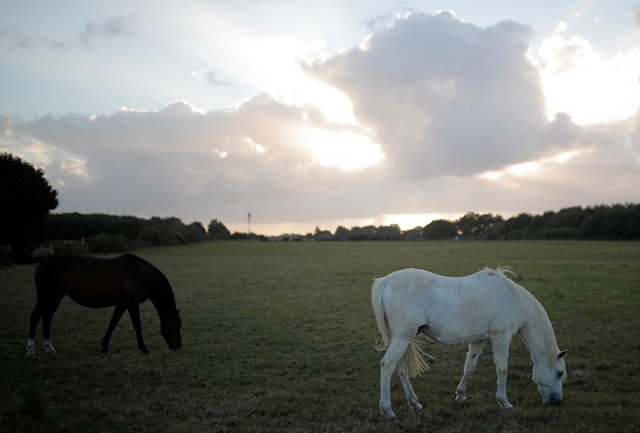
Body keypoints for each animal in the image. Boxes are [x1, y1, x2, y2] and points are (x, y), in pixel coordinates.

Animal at [26, 253, 181, 354]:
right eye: (177, 326)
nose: (178, 347)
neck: (142, 274)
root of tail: (43, 260)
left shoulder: (123, 303)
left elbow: (113, 323)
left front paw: (104, 347)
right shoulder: (132, 302)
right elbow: (137, 325)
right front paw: (143, 348)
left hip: (56, 296)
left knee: (47, 316)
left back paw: (49, 347)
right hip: (45, 296)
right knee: (35, 317)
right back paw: (31, 349)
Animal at [372, 264, 568, 416]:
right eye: (559, 373)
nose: (557, 402)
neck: (513, 299)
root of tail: (385, 281)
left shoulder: (479, 340)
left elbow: (470, 367)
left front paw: (461, 396)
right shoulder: (501, 337)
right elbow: (502, 369)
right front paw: (504, 402)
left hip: (401, 337)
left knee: (401, 368)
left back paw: (415, 403)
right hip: (403, 336)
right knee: (387, 364)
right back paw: (387, 410)